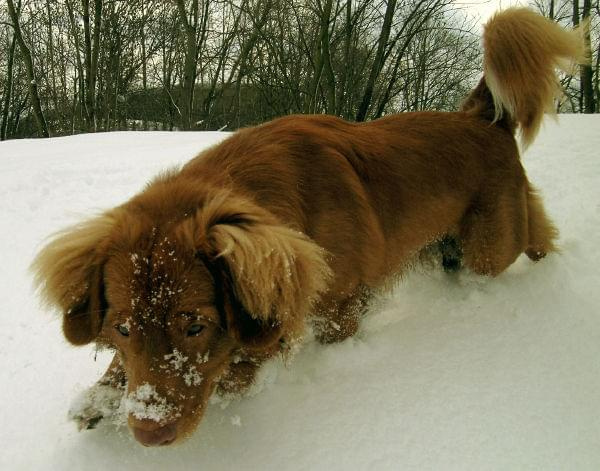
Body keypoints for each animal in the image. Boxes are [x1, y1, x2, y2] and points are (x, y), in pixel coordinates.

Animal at [31, 9, 580, 448]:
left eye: (195, 326)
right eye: (122, 328)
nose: (149, 432)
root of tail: (482, 117)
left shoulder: (339, 307)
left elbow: (244, 360)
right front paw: (102, 396)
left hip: (489, 245)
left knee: (523, 245)